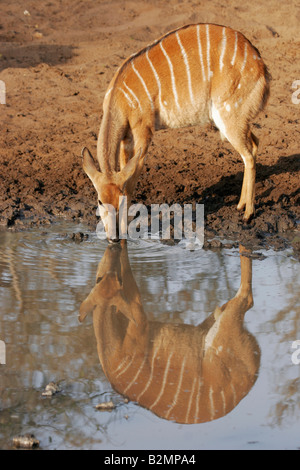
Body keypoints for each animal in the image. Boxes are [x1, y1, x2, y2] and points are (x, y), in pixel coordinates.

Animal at [82, 22, 270, 242]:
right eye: (100, 201)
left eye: (118, 201)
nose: (113, 237)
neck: (120, 96)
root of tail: (260, 65)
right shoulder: (127, 137)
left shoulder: (143, 131)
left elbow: (131, 181)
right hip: (236, 121)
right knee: (254, 145)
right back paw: (240, 205)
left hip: (230, 117)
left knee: (248, 155)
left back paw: (248, 214)